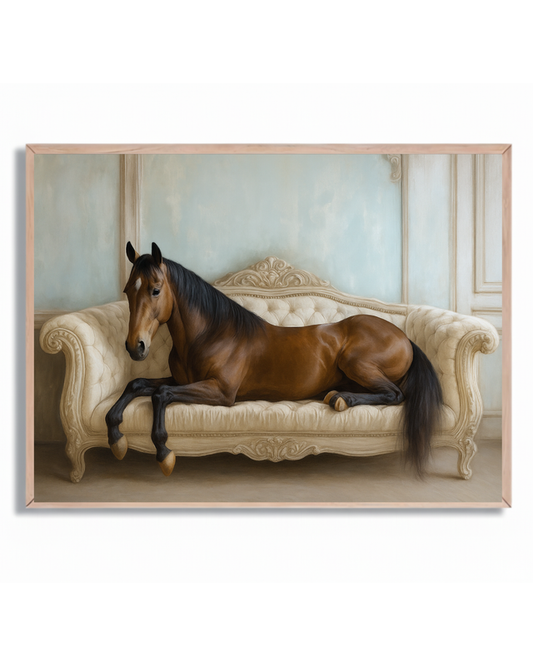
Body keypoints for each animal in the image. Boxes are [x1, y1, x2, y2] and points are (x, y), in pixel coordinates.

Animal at [106, 242, 443, 477]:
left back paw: (340, 399)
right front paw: (116, 437)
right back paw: (336, 394)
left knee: (394, 394)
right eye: (127, 290)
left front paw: (164, 452)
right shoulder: (182, 380)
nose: (135, 346)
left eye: (155, 290)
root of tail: (405, 337)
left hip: (356, 363)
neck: (212, 334)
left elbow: (160, 395)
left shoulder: (221, 392)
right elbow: (137, 384)